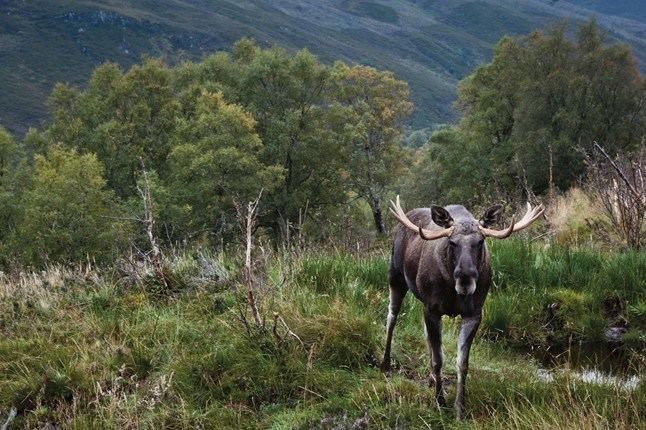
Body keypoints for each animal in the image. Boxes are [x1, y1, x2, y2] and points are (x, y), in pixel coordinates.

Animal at [382, 198, 544, 420]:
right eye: (452, 242)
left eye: (481, 242)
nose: (466, 279)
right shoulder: (432, 309)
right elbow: (439, 360)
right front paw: (440, 402)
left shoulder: (473, 313)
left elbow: (462, 363)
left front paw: (459, 408)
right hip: (395, 276)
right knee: (391, 317)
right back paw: (385, 364)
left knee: (424, 333)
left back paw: (431, 378)